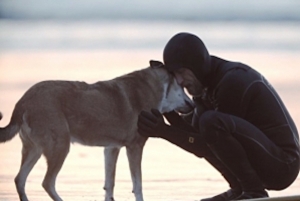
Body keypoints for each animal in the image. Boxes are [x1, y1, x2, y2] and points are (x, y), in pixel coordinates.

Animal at [0, 60, 193, 201]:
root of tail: (23, 101)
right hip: (60, 146)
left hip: (34, 149)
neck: (155, 87)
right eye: (182, 87)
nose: (193, 105)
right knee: (47, 183)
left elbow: (110, 184)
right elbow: (137, 185)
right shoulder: (135, 147)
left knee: (20, 179)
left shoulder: (111, 148)